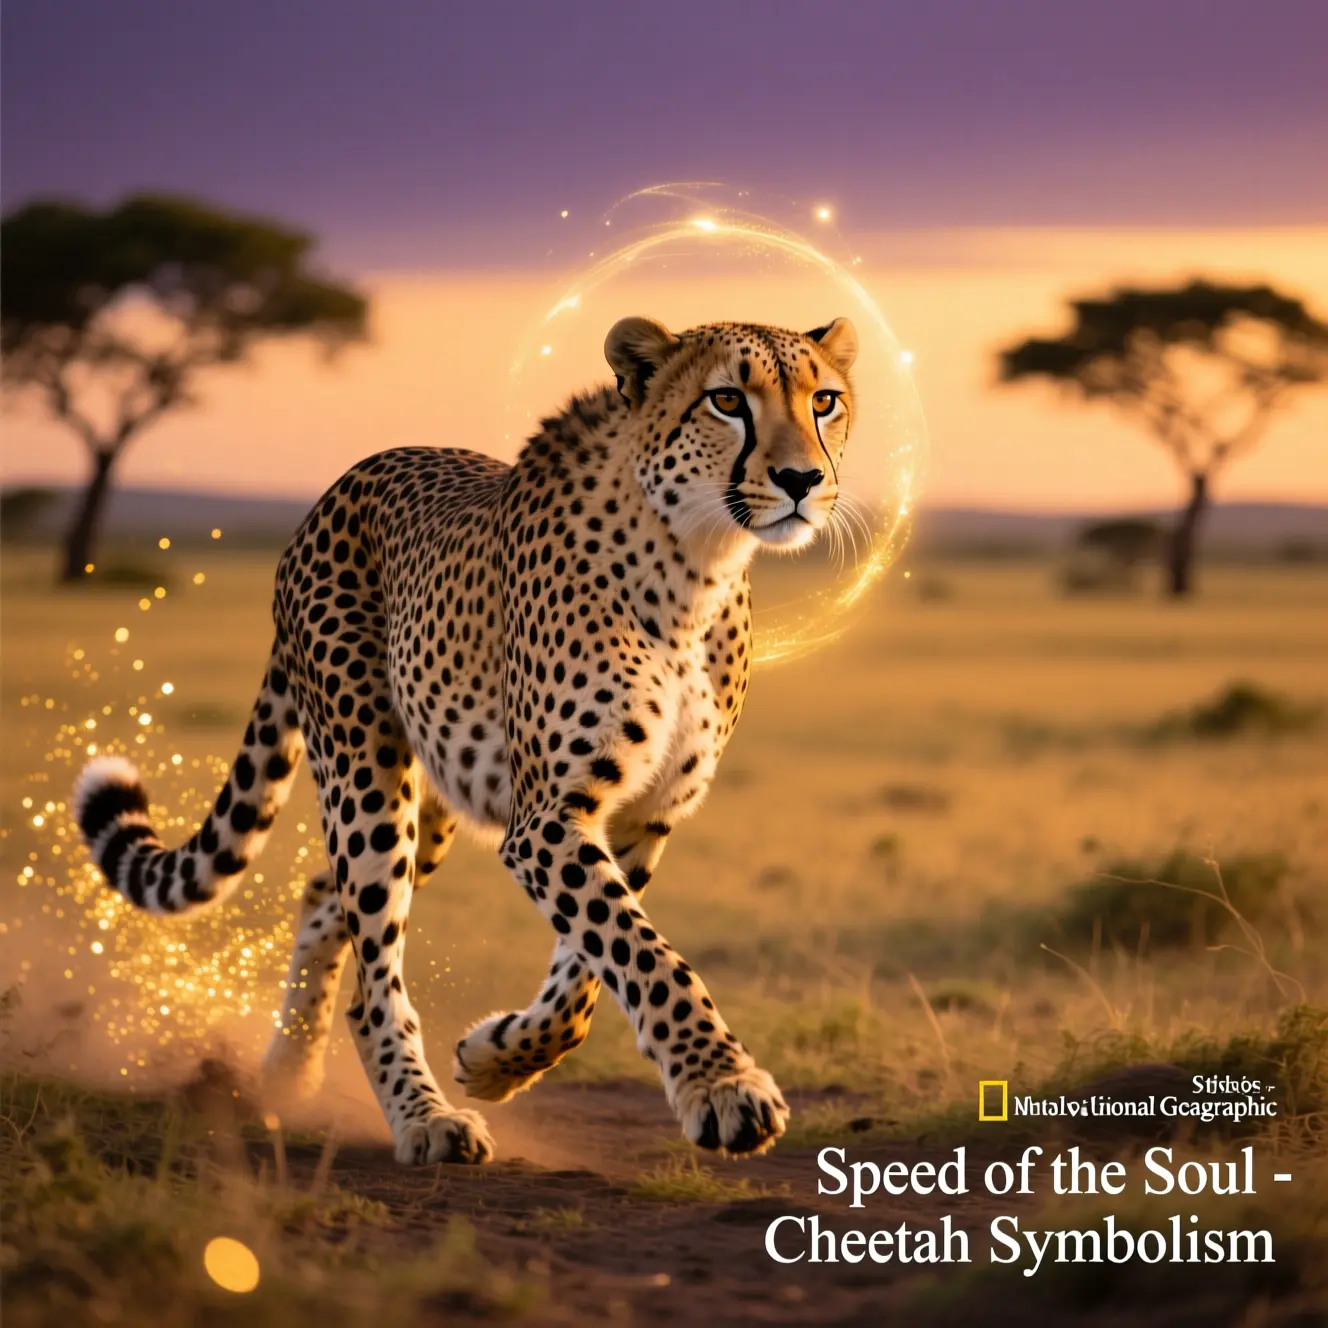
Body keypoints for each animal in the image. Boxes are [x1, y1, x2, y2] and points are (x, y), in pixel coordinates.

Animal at [73, 313, 859, 1166]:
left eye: (823, 400)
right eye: (727, 401)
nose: (802, 480)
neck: (697, 565)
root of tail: (350, 478)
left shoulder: (641, 817)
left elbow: (589, 977)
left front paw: (496, 1057)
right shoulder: (550, 817)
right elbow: (641, 953)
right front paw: (723, 1086)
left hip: (435, 799)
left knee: (322, 898)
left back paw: (286, 1074)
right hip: (367, 772)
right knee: (371, 975)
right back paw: (422, 1118)